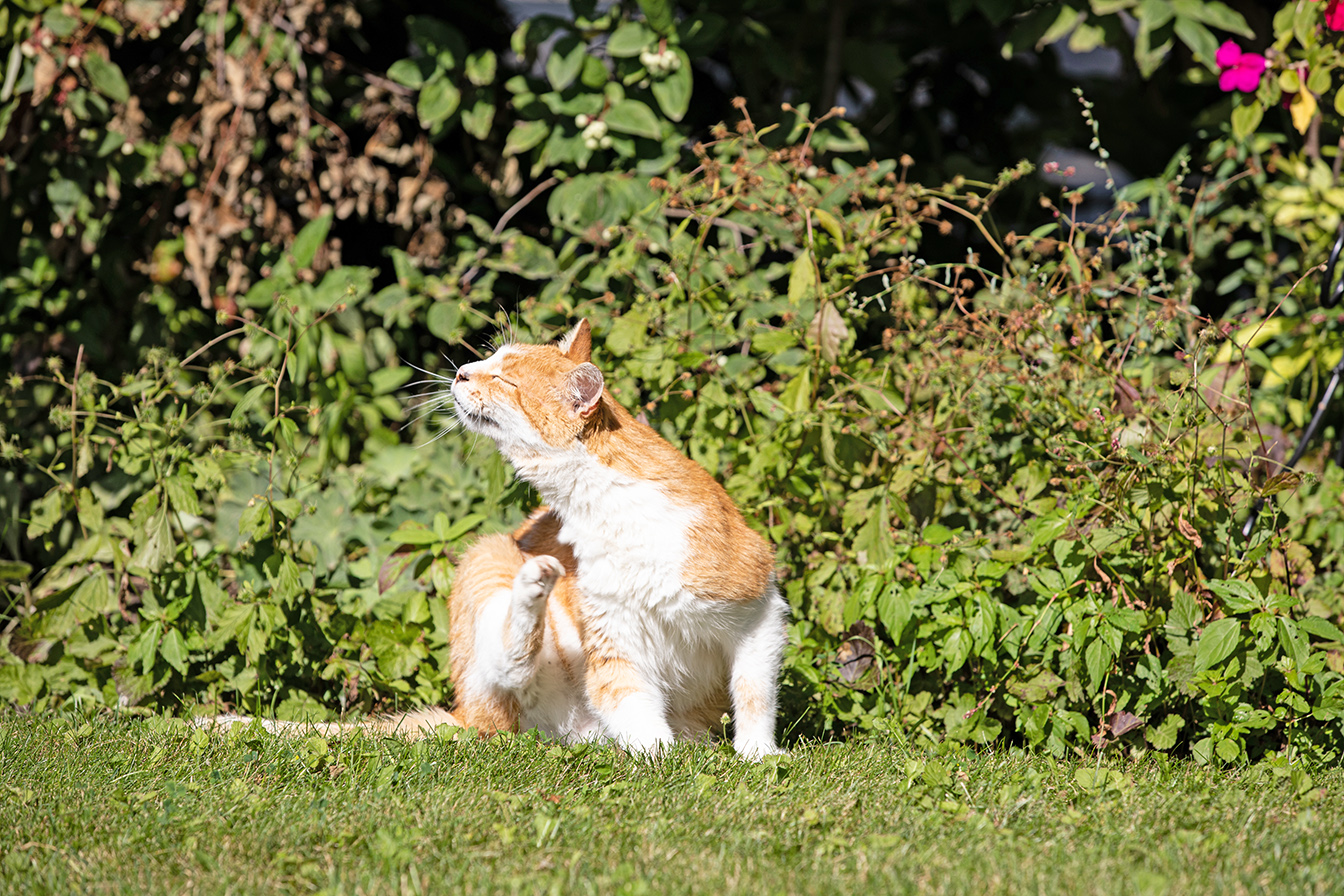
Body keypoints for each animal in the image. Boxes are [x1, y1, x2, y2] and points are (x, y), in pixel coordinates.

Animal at [206, 321, 784, 757]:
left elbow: (754, 692)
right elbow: (631, 704)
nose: (462, 370)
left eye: (505, 378)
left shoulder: (758, 612)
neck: (609, 508)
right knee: (510, 666)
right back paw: (535, 584)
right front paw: (659, 759)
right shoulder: (612, 639)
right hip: (487, 557)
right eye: (490, 359)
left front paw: (755, 754)